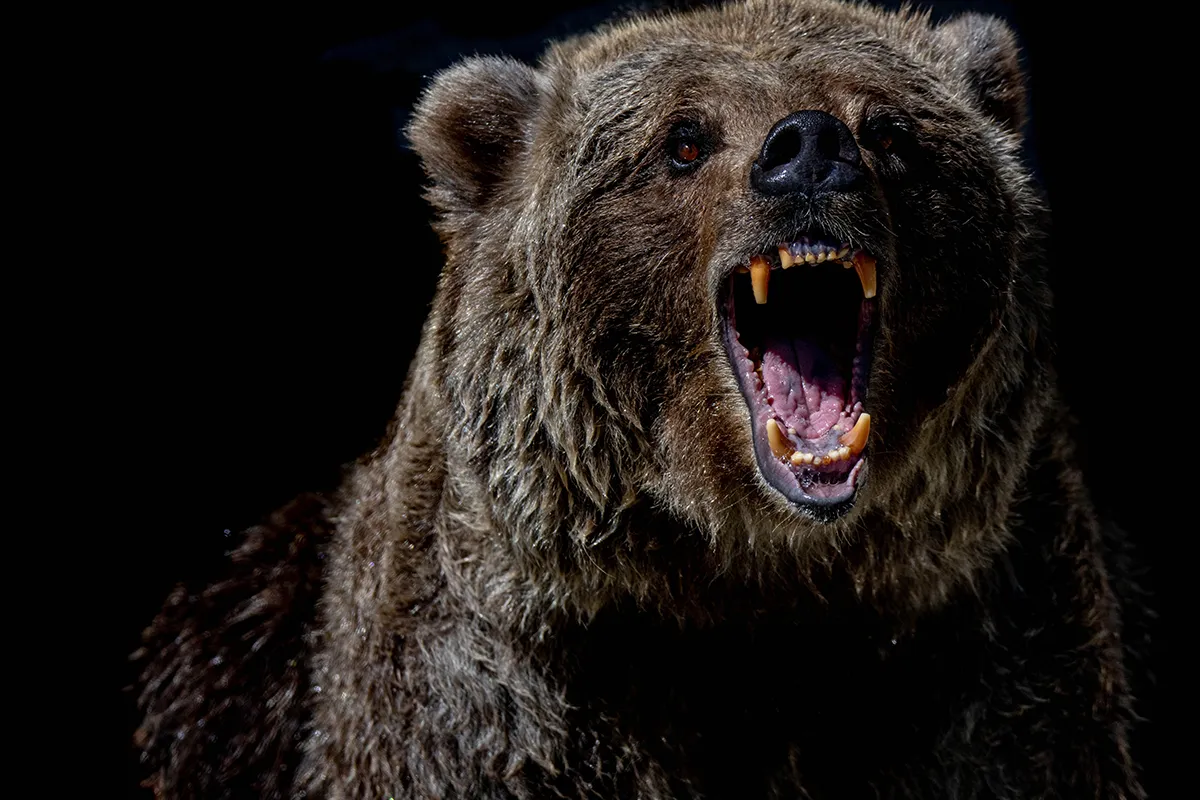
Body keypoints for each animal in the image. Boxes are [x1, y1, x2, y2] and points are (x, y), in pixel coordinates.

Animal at [134, 0, 1146, 797]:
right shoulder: (497, 696)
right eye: (684, 139)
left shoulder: (981, 664)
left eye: (891, 131)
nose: (810, 148)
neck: (746, 581)